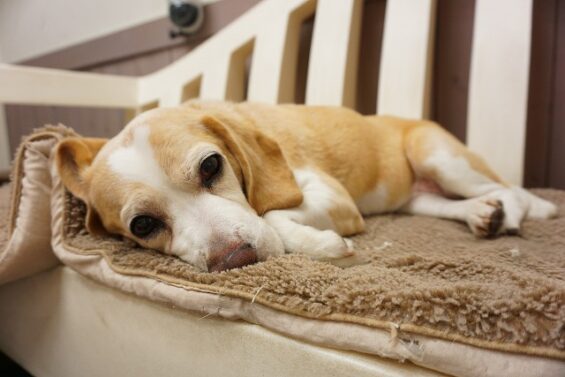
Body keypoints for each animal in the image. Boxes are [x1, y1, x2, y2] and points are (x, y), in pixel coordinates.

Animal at [55, 100, 556, 270]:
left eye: (211, 166)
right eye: (142, 225)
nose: (234, 261)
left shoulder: (334, 197)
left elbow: (274, 215)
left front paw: (326, 246)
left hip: (440, 158)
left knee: (508, 190)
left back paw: (511, 213)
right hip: (420, 201)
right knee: (460, 203)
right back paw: (481, 215)